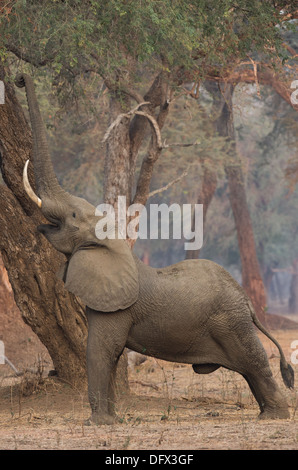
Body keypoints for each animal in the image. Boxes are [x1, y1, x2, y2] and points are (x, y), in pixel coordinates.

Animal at [15, 74, 294, 426]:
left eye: (74, 217)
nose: (19, 79)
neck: (115, 244)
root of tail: (246, 301)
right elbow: (110, 355)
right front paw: (112, 420)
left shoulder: (116, 308)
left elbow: (101, 350)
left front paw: (98, 424)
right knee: (251, 369)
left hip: (231, 322)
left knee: (255, 364)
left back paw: (274, 417)